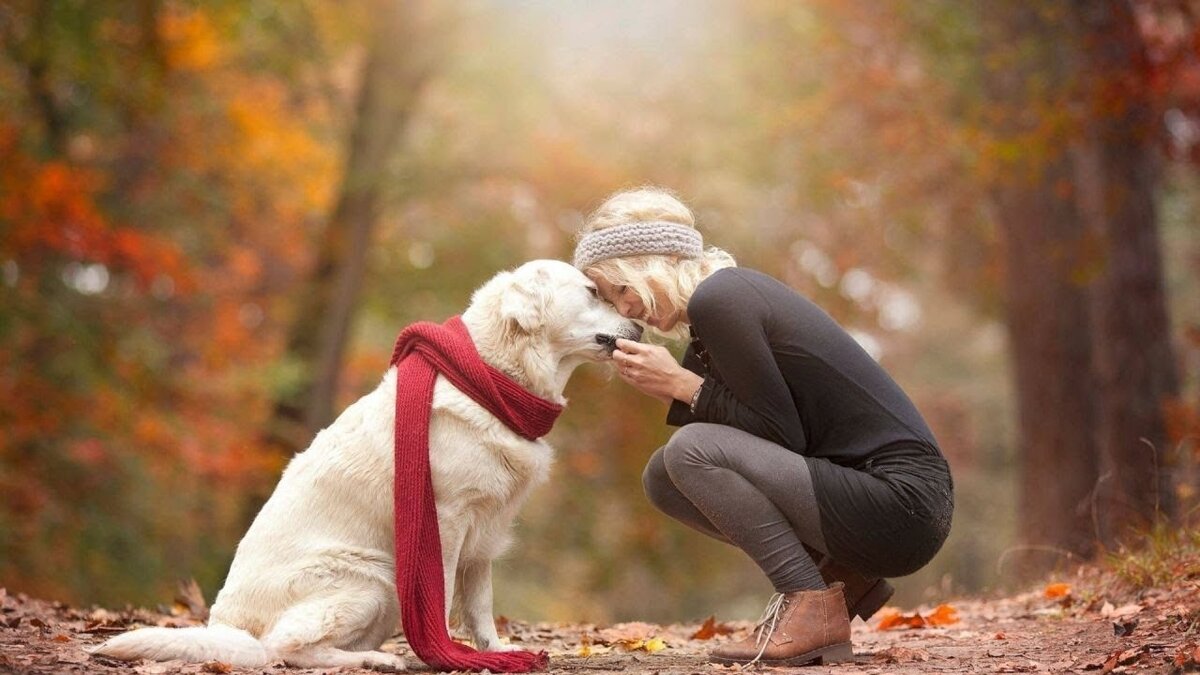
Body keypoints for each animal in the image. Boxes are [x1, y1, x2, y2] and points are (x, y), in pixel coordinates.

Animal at [94, 258, 643, 667]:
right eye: (592, 292)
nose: (639, 324)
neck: (492, 378)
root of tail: (228, 628)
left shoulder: (484, 533)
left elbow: (481, 604)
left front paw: (494, 651)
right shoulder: (445, 520)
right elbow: (442, 596)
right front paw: (445, 653)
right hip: (372, 578)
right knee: (283, 649)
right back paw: (373, 659)